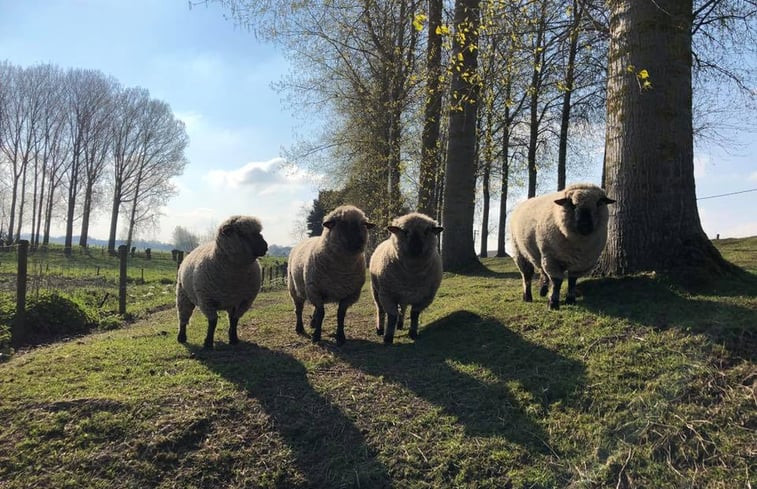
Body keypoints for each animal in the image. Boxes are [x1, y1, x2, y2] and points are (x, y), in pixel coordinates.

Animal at [174, 214, 268, 346]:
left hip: (228, 301)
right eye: (241, 233)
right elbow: (213, 322)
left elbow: (234, 320)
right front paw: (208, 343)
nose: (265, 246)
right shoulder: (207, 300)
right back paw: (181, 337)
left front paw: (233, 339)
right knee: (183, 316)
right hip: (183, 294)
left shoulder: (243, 302)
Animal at [286, 204, 376, 346]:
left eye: (364, 225)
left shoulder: (350, 294)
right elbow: (321, 313)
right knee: (299, 310)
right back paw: (300, 328)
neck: (341, 270)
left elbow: (340, 315)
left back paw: (312, 323)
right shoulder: (315, 290)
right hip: (294, 289)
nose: (360, 242)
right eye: (343, 223)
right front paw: (316, 336)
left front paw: (340, 337)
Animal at [368, 213, 442, 344]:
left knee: (403, 308)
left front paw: (413, 333)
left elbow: (414, 315)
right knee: (380, 309)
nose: (416, 248)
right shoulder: (387, 295)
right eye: (405, 231)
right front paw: (388, 337)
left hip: (403, 295)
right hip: (376, 290)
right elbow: (392, 316)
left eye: (426, 231)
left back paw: (400, 324)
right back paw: (380, 329)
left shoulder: (425, 298)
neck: (412, 274)